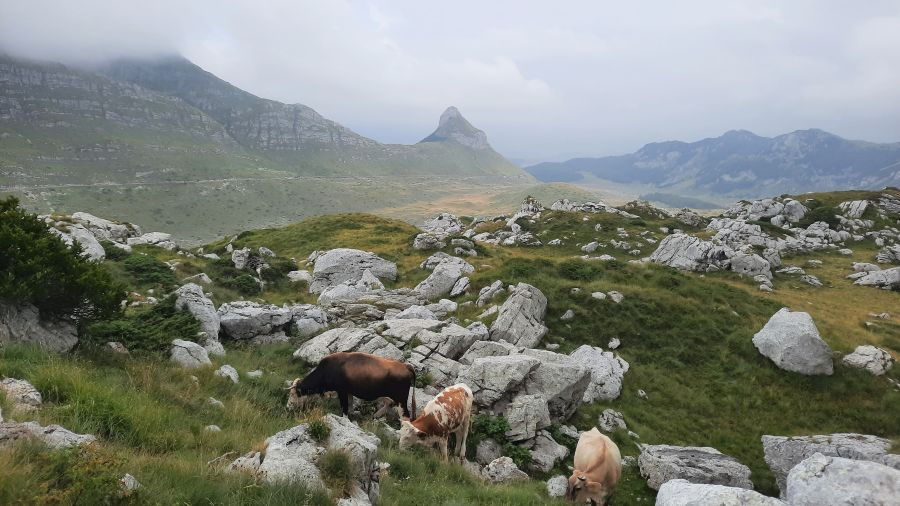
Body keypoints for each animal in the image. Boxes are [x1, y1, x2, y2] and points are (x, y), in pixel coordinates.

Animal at [286, 352, 416, 418]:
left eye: (293, 394)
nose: (288, 407)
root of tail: (406, 366)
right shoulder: (349, 392)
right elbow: (350, 405)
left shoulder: (342, 391)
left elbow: (344, 408)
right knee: (390, 403)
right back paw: (377, 415)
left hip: (401, 399)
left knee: (404, 416)